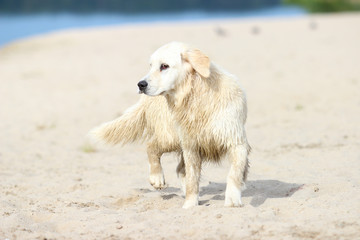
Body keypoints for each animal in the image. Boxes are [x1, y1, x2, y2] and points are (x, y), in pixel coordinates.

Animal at [90, 42, 250, 209]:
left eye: (164, 66)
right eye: (151, 65)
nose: (141, 84)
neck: (195, 96)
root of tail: (145, 100)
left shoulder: (236, 141)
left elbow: (234, 173)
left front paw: (232, 199)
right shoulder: (191, 146)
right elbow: (192, 179)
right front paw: (190, 205)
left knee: (178, 167)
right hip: (171, 136)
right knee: (151, 146)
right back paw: (157, 178)